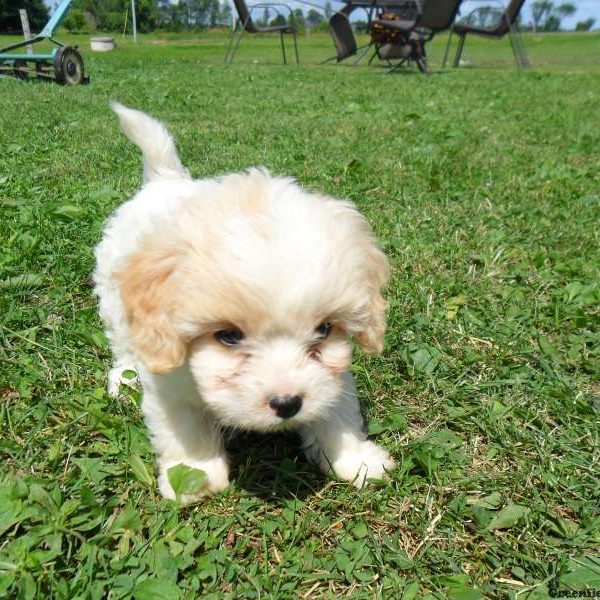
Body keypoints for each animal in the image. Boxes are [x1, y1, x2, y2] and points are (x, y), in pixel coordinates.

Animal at [92, 104, 394, 506]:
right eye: (228, 336)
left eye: (324, 329)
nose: (287, 404)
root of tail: (165, 179)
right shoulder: (170, 384)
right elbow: (185, 427)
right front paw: (195, 474)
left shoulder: (332, 373)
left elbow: (338, 410)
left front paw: (356, 459)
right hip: (113, 297)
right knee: (124, 343)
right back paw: (125, 377)